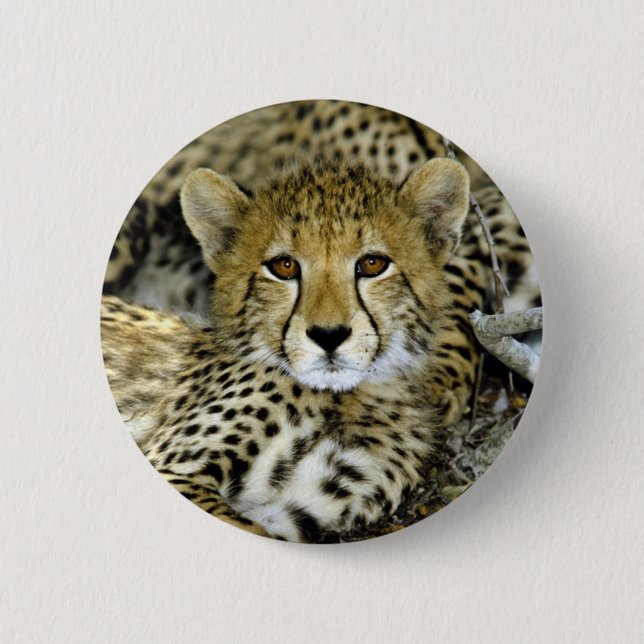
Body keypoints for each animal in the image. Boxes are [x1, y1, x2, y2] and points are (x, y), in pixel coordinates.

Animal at [101, 100, 538, 542]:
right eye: (284, 266)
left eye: (372, 264)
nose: (329, 336)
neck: (349, 399)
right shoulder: (178, 471)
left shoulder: (292, 514)